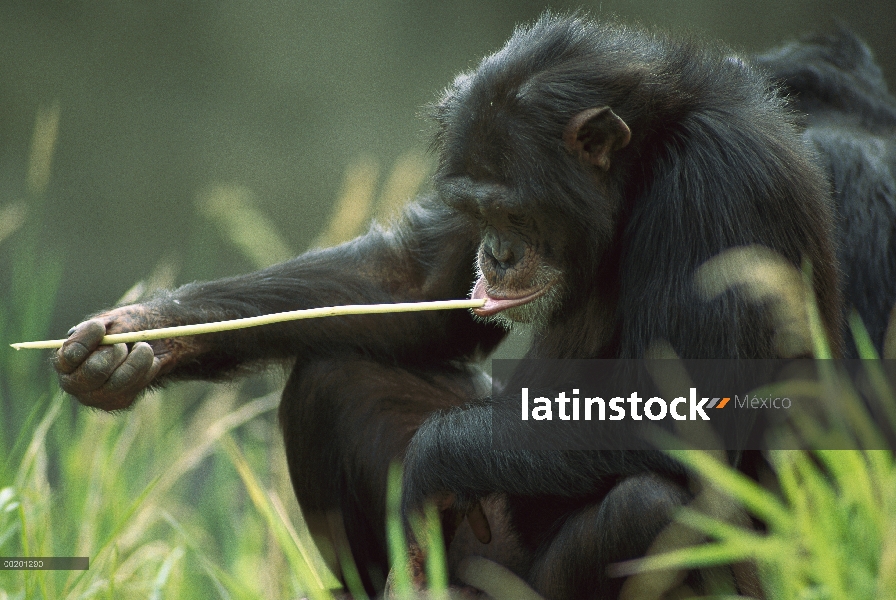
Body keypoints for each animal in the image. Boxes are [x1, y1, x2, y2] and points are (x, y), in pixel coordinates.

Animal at [52, 12, 892, 600]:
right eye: (475, 209)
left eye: (515, 212)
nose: (495, 251)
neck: (646, 158)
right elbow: (416, 289)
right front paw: (138, 339)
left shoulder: (721, 181)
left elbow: (690, 415)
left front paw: (430, 459)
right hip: (470, 562)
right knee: (334, 374)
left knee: (657, 506)